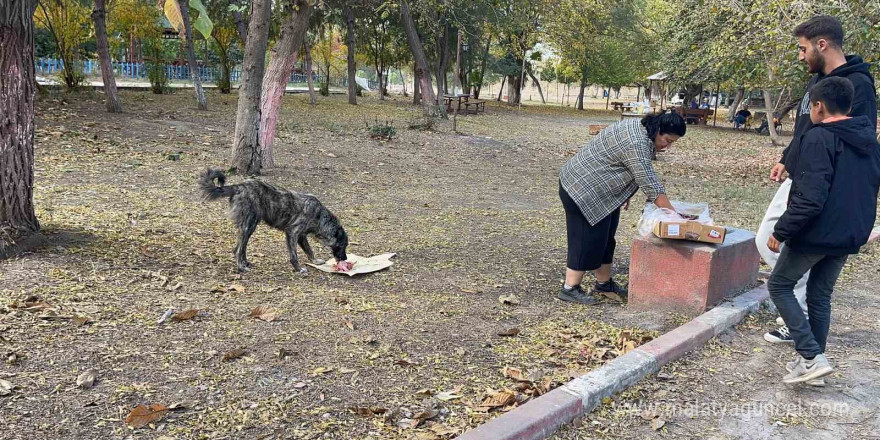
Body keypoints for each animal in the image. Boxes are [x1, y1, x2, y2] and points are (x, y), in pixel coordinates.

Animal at [199, 168, 348, 274]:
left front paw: (315, 261)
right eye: (342, 245)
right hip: (248, 226)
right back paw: (241, 268)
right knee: (237, 249)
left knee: (241, 248)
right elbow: (294, 255)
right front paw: (299, 269)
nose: (345, 259)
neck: (319, 216)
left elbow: (309, 250)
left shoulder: (301, 236)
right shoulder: (292, 233)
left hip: (250, 227)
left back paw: (245, 263)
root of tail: (239, 186)